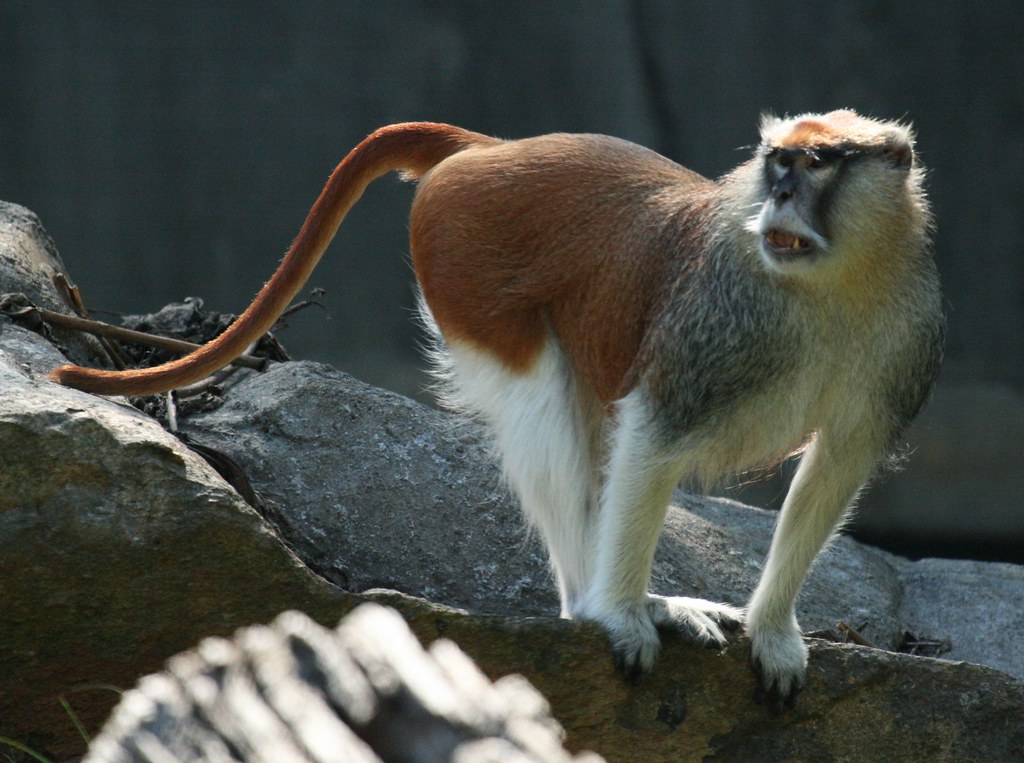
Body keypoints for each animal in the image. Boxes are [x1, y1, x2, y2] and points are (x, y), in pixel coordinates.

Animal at [51, 110, 937, 704]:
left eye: (818, 162)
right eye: (775, 160)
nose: (780, 192)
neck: (829, 289)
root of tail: (485, 151)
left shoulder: (900, 346)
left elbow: (835, 466)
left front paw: (775, 630)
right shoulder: (710, 337)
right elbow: (652, 436)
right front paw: (621, 616)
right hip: (465, 267)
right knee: (545, 409)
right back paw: (593, 603)